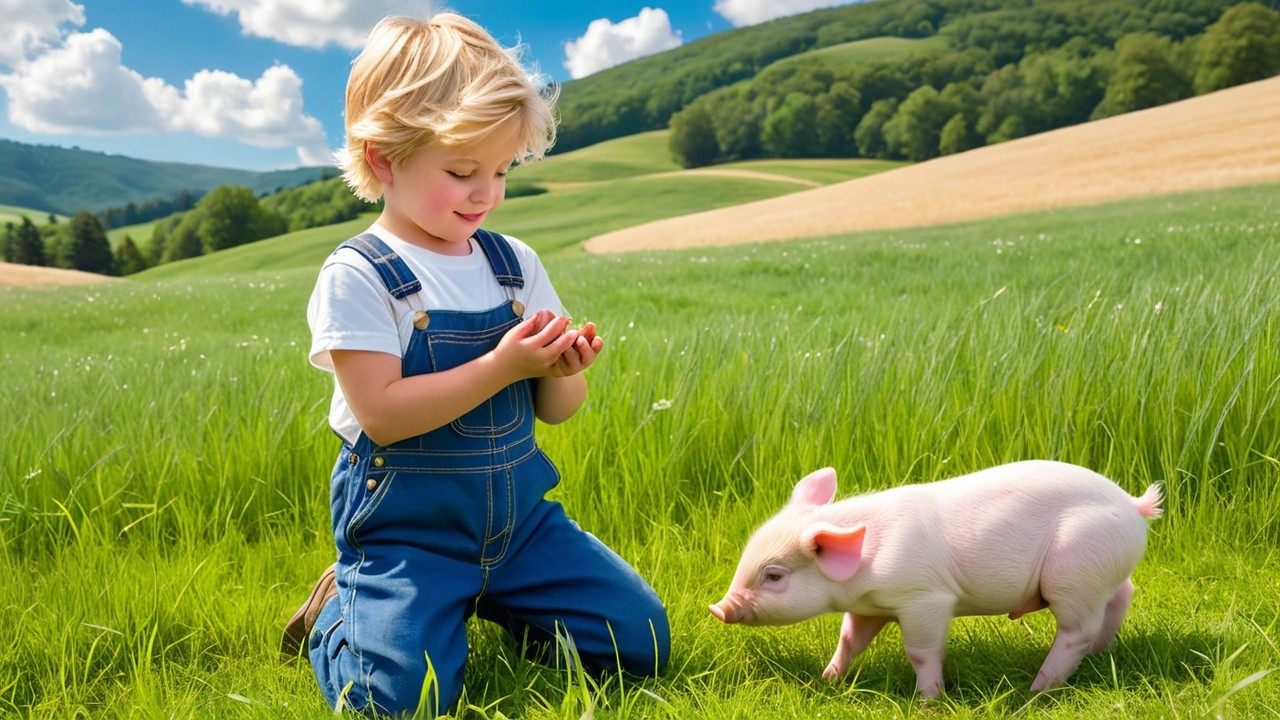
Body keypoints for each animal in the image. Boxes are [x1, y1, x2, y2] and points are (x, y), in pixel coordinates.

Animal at [709, 460, 1163, 697]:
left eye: (773, 575)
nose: (718, 608)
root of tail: (1133, 505)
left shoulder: (925, 598)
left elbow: (922, 652)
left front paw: (929, 698)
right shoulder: (869, 607)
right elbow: (850, 640)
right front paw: (829, 679)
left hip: (1072, 573)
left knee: (1076, 632)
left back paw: (1035, 689)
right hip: (1098, 574)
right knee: (1124, 593)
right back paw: (1101, 654)